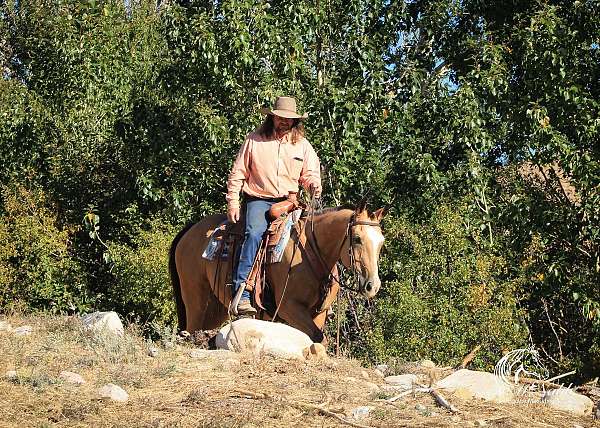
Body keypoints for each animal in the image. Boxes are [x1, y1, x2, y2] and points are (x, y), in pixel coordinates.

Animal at [169, 199, 386, 342]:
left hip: (215, 308)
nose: (372, 286)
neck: (311, 251)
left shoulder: (319, 313)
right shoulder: (289, 307)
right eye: (357, 239)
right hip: (195, 300)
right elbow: (316, 337)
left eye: (381, 242)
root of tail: (189, 231)